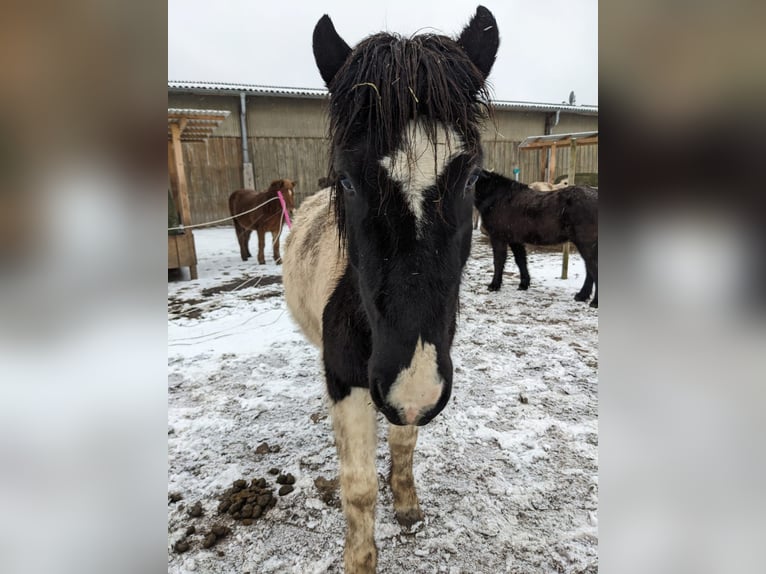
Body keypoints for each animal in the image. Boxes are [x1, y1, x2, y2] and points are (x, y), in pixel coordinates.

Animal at [284, 6, 500, 572]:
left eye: (472, 179)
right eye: (348, 181)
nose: (413, 387)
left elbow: (404, 444)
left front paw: (406, 506)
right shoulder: (349, 380)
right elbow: (358, 487)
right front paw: (360, 559)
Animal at [474, 169, 600, 308]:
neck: (498, 197)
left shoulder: (498, 238)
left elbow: (498, 261)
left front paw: (494, 285)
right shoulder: (515, 240)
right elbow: (521, 260)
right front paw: (524, 284)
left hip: (586, 244)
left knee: (593, 268)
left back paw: (595, 302)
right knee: (589, 269)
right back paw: (582, 296)